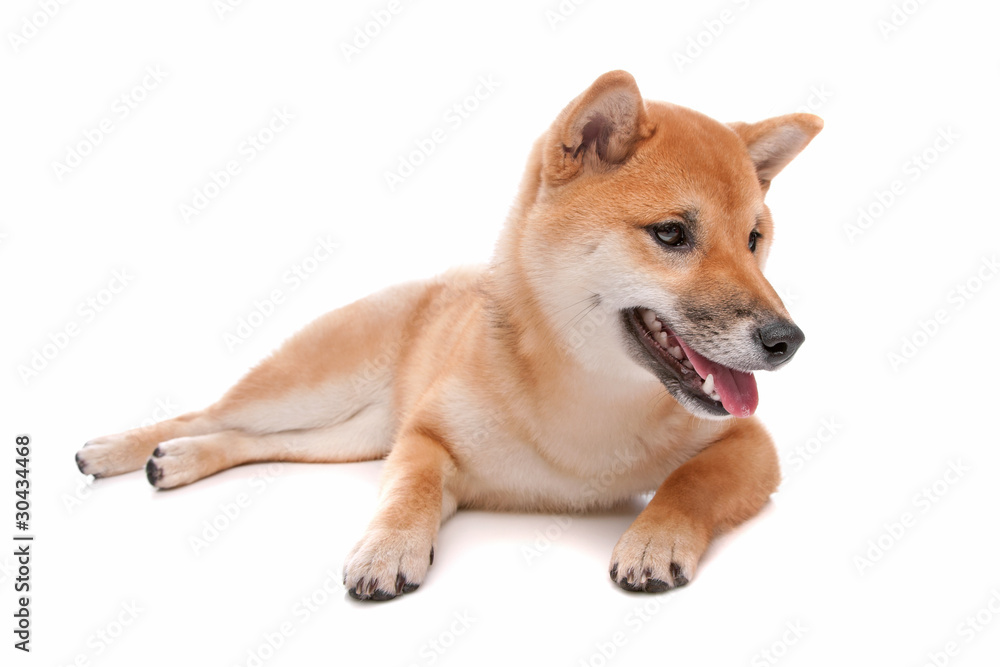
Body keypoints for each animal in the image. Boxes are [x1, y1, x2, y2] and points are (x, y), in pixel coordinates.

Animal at [76, 72, 820, 600]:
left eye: (754, 240)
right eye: (671, 234)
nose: (788, 339)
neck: (587, 397)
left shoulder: (750, 444)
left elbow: (690, 482)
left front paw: (654, 538)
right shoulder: (425, 435)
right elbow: (409, 489)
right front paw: (387, 548)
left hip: (349, 436)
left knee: (253, 442)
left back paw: (179, 460)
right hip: (311, 391)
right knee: (209, 413)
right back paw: (121, 448)